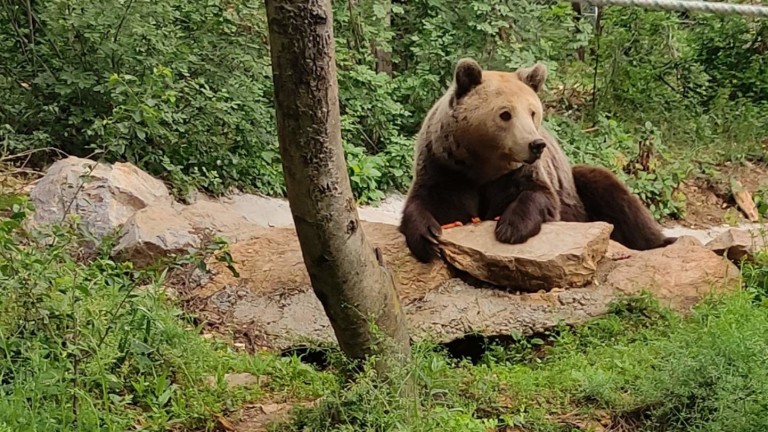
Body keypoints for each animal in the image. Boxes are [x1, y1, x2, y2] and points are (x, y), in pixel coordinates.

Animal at [400, 57, 676, 264]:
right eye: (505, 114)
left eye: (533, 112)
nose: (536, 144)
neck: (483, 165)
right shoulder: (445, 167)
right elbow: (429, 201)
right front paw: (428, 236)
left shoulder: (520, 173)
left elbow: (539, 195)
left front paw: (510, 227)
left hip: (576, 186)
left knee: (610, 191)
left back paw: (664, 241)